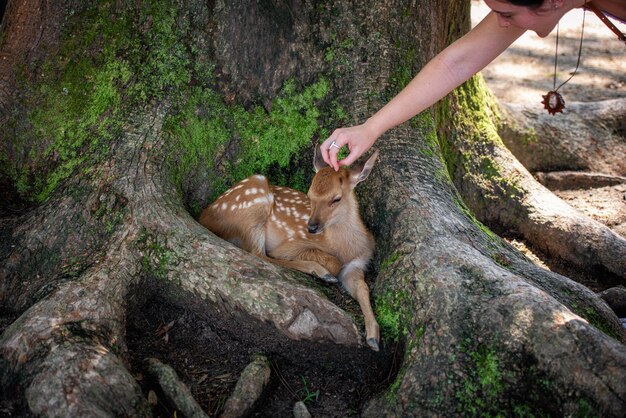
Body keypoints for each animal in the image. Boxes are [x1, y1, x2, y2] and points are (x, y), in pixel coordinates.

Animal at [197, 149, 378, 352]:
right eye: (309, 195)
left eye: (336, 198)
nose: (311, 227)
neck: (345, 248)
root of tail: (204, 216)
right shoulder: (292, 243)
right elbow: (330, 261)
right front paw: (326, 270)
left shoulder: (357, 264)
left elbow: (363, 287)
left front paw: (373, 337)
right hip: (254, 206)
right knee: (258, 253)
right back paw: (321, 272)